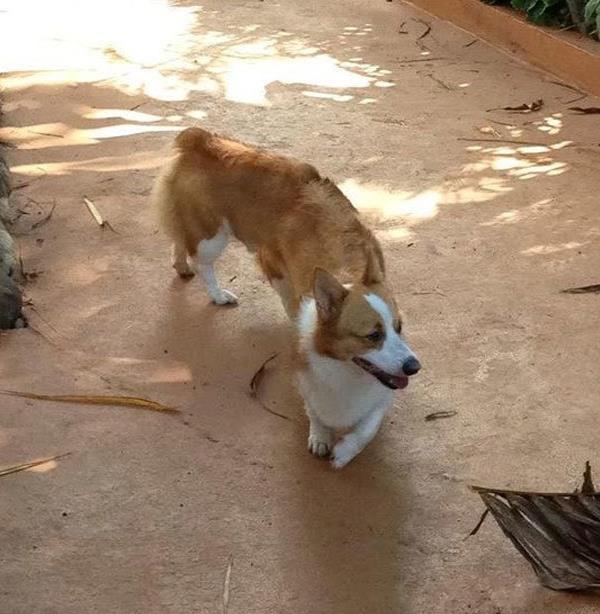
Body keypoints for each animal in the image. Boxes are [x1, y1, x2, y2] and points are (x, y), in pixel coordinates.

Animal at [152, 127, 420, 470]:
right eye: (373, 335)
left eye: (399, 327)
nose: (414, 366)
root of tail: (202, 139)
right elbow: (315, 407)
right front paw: (320, 436)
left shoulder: (381, 393)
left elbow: (367, 427)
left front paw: (346, 451)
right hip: (212, 236)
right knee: (202, 262)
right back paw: (217, 294)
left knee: (179, 242)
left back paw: (182, 267)